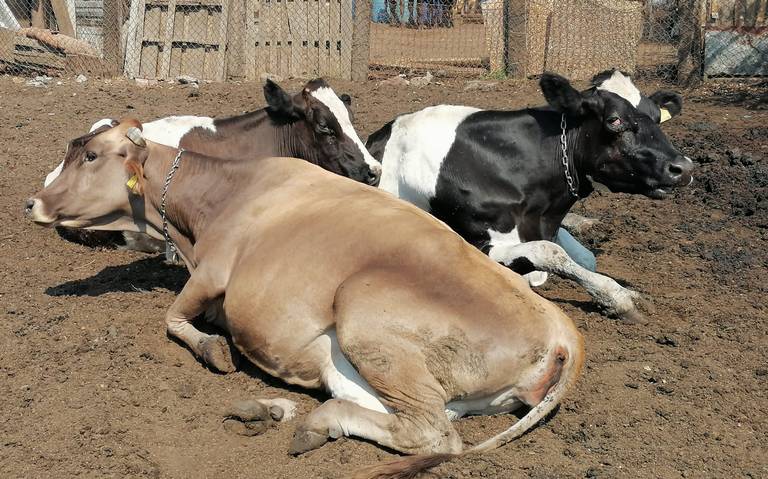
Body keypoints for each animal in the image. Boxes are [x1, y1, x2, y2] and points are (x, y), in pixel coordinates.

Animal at [27, 119, 584, 476]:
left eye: (91, 156)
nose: (33, 201)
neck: (222, 196)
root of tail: (563, 330)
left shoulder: (212, 274)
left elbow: (172, 319)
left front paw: (213, 349)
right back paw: (273, 412)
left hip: (363, 313)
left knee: (434, 433)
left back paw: (313, 421)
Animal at [366, 70, 696, 318]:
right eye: (614, 120)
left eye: (657, 117)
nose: (683, 167)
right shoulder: (482, 242)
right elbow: (550, 253)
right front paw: (618, 297)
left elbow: (585, 258)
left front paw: (625, 289)